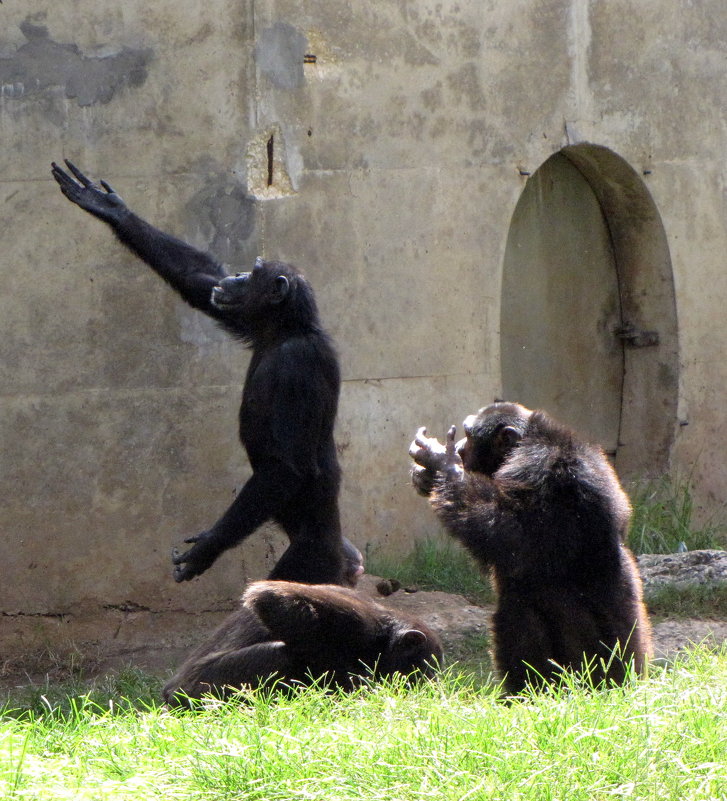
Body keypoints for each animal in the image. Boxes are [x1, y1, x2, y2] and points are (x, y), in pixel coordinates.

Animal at [51, 159, 352, 584]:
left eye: (255, 272)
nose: (239, 274)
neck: (283, 330)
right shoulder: (243, 318)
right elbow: (200, 279)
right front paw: (110, 208)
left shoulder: (299, 368)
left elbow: (282, 469)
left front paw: (207, 548)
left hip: (312, 561)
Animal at [163, 580, 444, 704]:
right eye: (421, 671)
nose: (427, 687)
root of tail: (169, 695)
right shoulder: (354, 619)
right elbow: (272, 598)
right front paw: (349, 682)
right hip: (203, 690)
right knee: (279, 655)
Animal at [410, 400, 656, 692]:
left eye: (468, 435)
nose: (459, 447)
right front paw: (428, 475)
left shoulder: (535, 467)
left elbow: (510, 535)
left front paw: (442, 464)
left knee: (521, 604)